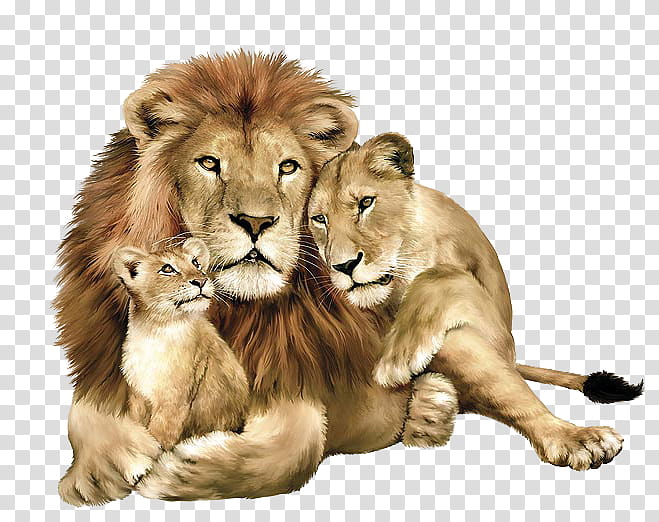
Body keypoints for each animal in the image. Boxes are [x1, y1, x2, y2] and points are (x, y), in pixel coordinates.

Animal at [55, 52, 459, 505]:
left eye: (288, 166)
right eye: (209, 163)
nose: (256, 221)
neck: (238, 310)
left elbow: (299, 442)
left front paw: (183, 470)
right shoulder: (104, 367)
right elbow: (86, 412)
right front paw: (94, 472)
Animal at [307, 132, 644, 470]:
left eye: (366, 203)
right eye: (320, 219)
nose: (343, 266)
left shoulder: (496, 328)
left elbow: (441, 274)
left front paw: (397, 359)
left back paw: (577, 439)